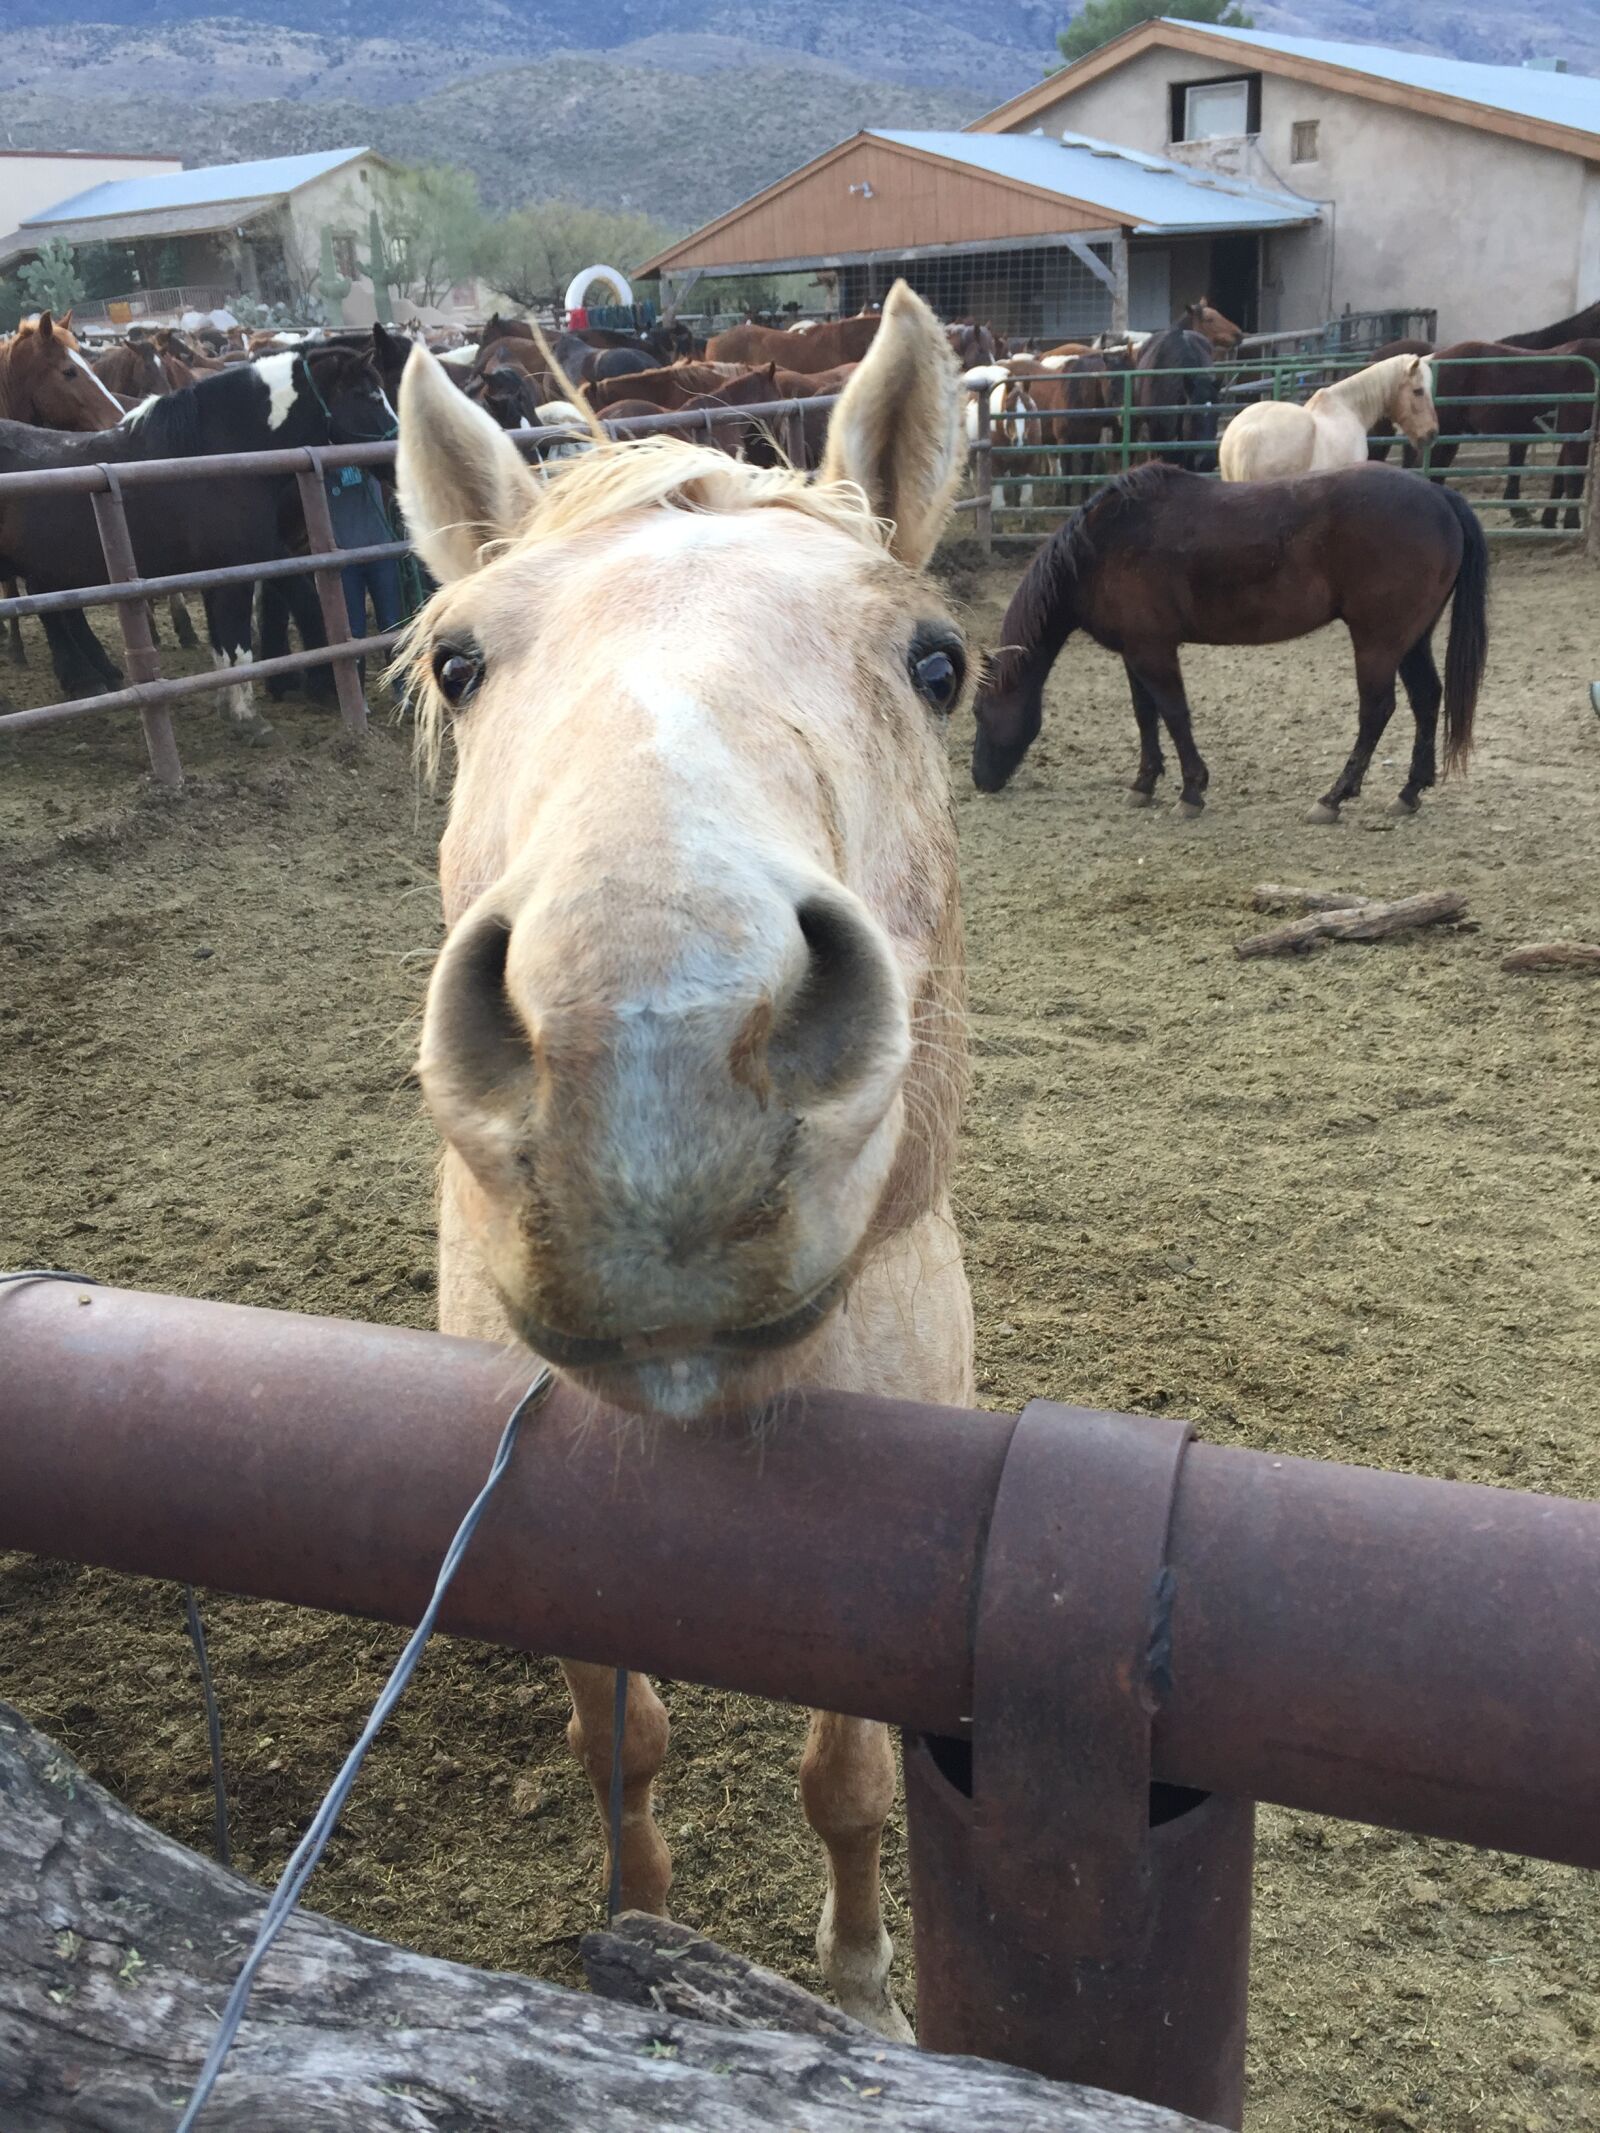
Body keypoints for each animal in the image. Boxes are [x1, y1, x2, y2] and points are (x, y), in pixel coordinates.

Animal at [0, 346, 396, 734]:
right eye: (368, 395)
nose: (396, 458)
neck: (215, 456)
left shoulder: (217, 571)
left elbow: (223, 644)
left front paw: (231, 706)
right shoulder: (236, 569)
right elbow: (239, 644)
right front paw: (249, 718)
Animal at [392, 278, 970, 2041]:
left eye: (936, 661)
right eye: (460, 660)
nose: (651, 1040)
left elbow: (849, 1786)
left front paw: (859, 1991)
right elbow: (619, 1746)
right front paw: (634, 1936)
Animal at [971, 461, 1488, 824]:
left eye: (977, 712)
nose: (979, 780)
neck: (1101, 548)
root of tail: (1439, 495)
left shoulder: (1154, 651)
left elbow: (1174, 714)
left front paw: (1191, 791)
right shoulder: (1135, 652)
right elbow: (1146, 716)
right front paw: (1144, 784)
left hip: (1378, 642)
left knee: (1376, 712)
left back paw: (1333, 798)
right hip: (1411, 639)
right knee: (1426, 699)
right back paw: (1409, 792)